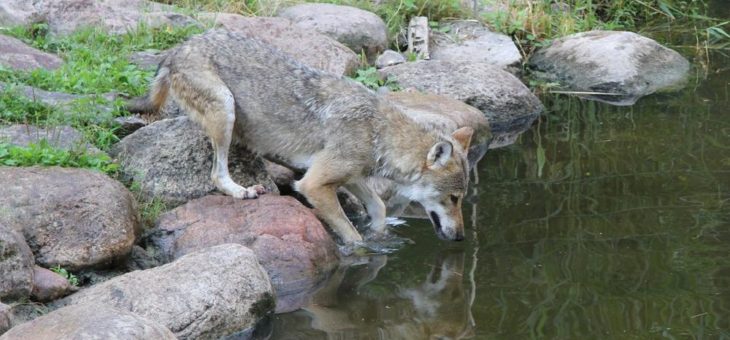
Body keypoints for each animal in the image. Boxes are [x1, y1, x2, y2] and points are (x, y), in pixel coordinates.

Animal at [128, 29, 472, 244]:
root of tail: (176, 50)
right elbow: (352, 236)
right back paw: (242, 191)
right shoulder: (314, 184)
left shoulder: (349, 175)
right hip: (225, 109)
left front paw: (380, 236)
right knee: (217, 175)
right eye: (454, 199)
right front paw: (362, 250)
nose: (461, 237)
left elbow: (379, 207)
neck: (379, 132)